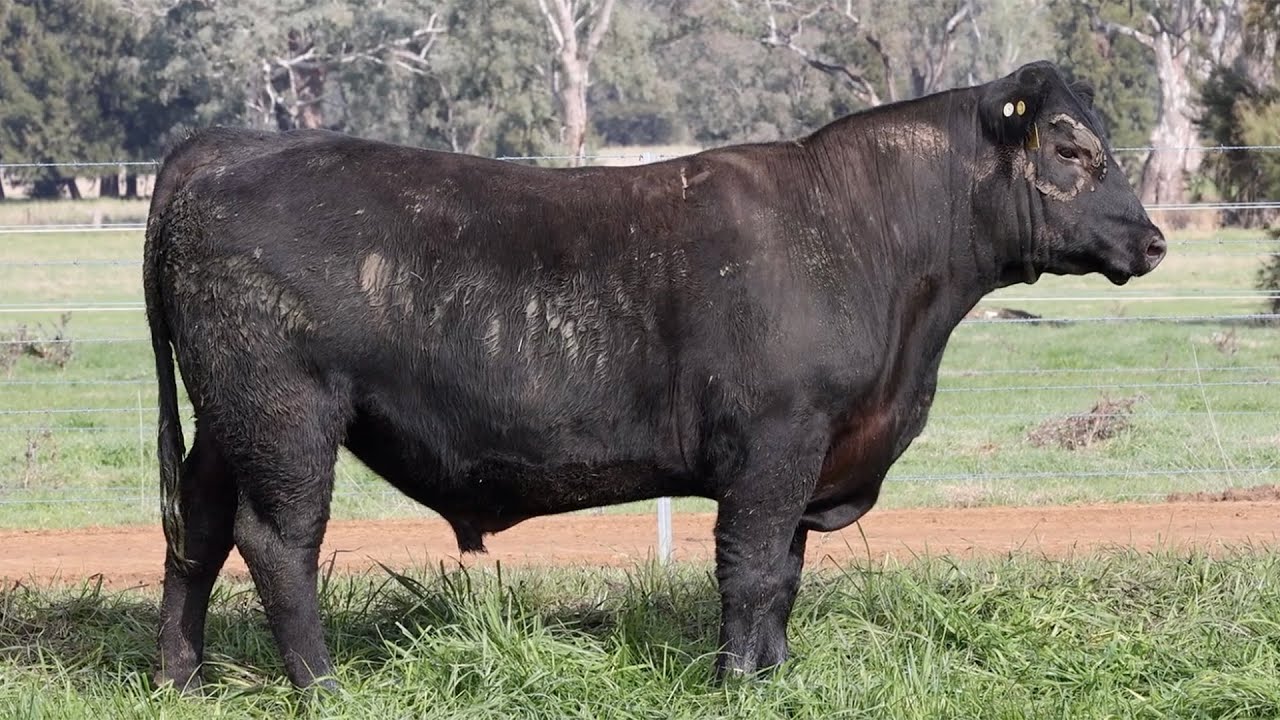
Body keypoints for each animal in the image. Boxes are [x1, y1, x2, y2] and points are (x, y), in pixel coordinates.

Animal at [144, 60, 1165, 691]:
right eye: (1074, 149)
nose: (1153, 240)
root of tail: (223, 145)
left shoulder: (807, 461)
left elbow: (785, 576)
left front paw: (777, 676)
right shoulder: (775, 445)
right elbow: (750, 570)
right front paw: (738, 683)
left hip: (225, 421)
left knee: (196, 531)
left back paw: (181, 680)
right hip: (285, 413)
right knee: (278, 543)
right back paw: (322, 686)